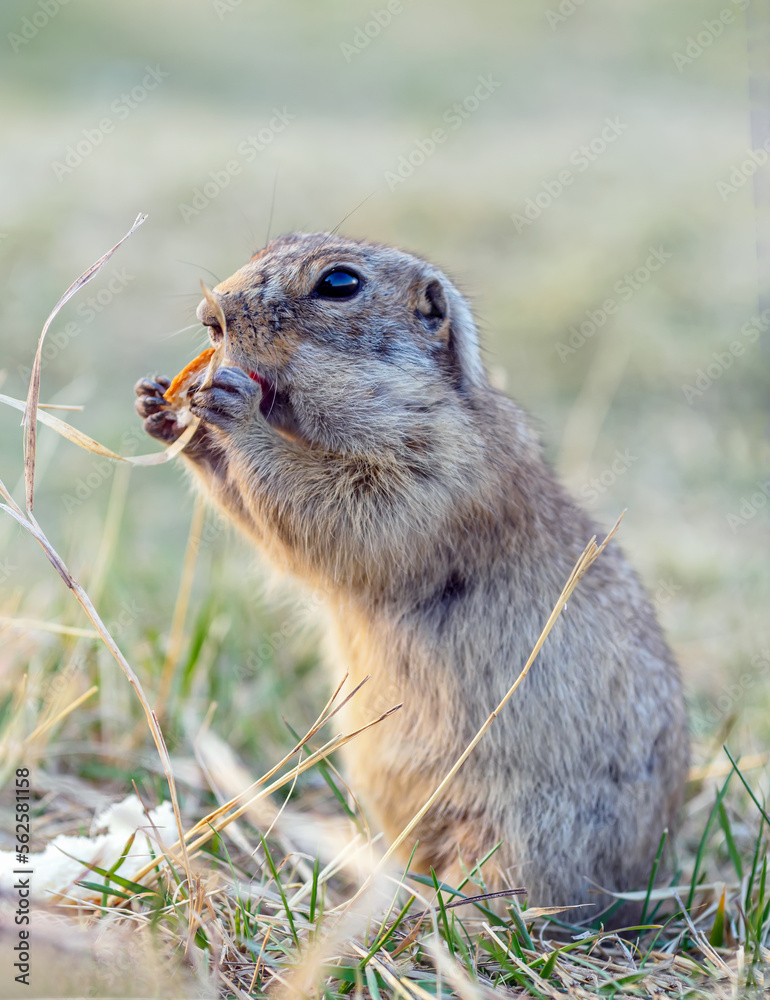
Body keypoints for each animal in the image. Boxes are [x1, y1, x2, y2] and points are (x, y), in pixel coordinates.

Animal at [135, 234, 688, 916]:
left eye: (339, 283)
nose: (208, 317)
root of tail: (639, 886)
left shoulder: (443, 461)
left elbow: (350, 509)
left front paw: (231, 410)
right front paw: (160, 404)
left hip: (523, 834)